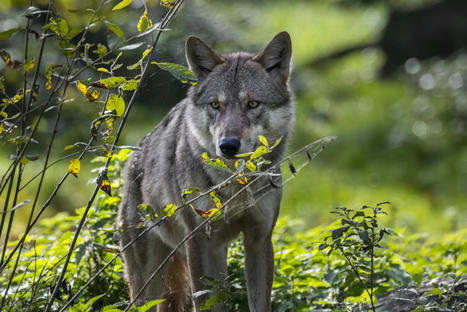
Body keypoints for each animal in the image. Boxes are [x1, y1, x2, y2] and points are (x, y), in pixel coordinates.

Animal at [118, 30, 296, 310]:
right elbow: (203, 303)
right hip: (146, 286)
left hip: (216, 258)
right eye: (215, 105)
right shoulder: (198, 242)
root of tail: (133, 158)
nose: (228, 146)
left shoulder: (259, 241)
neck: (234, 184)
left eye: (252, 104)